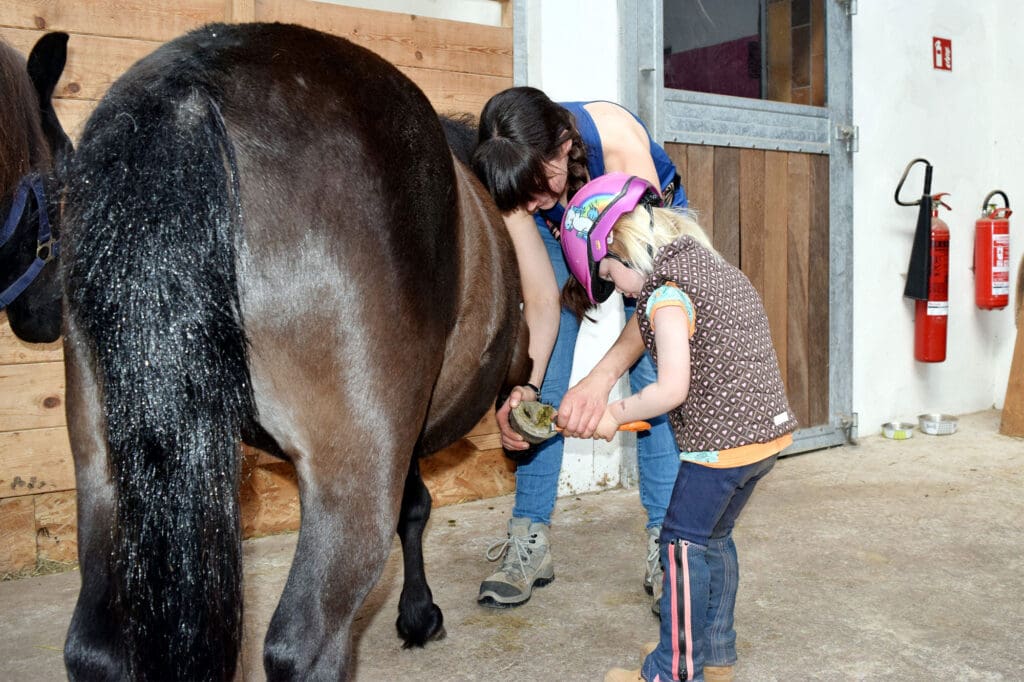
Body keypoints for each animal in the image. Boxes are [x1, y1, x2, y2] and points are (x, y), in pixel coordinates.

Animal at [58, 21, 528, 679]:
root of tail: (186, 92)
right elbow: (415, 508)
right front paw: (418, 615)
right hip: (351, 475)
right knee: (303, 641)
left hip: (103, 464)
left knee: (94, 647)